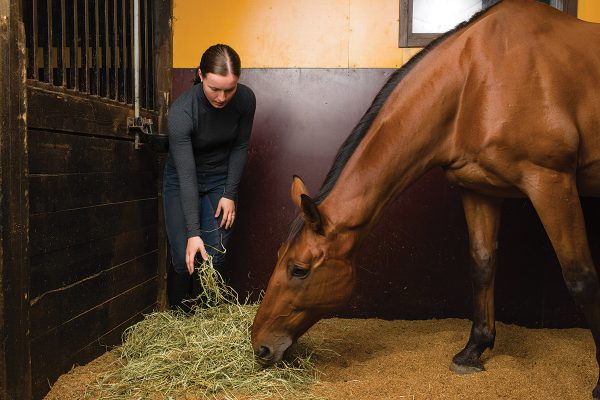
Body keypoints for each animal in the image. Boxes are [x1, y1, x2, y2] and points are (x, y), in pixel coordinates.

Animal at [251, 0, 600, 396]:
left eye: (299, 269)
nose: (260, 346)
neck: (478, 80)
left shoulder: (551, 181)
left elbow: (581, 279)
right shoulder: (478, 189)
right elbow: (482, 264)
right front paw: (473, 350)